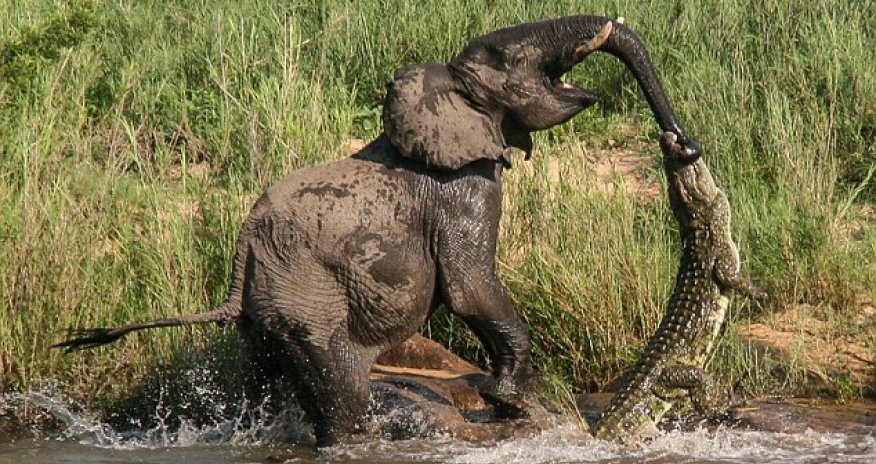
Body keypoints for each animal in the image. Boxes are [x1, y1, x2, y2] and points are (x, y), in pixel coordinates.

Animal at [55, 15, 701, 446]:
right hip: (306, 297)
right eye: (502, 56)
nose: (683, 144)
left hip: (268, 311)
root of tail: (243, 253)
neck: (444, 93)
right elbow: (469, 286)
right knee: (343, 389)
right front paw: (510, 402)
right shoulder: (463, 189)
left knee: (266, 381)